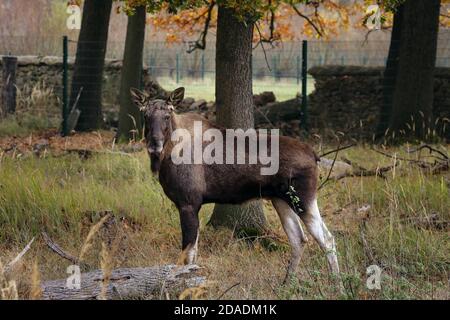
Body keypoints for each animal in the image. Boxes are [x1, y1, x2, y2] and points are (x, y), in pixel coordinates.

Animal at [131, 87, 342, 282]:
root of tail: (314, 155)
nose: (154, 144)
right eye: (145, 115)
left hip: (303, 197)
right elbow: (194, 253)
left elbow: (188, 255)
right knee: (299, 239)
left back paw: (337, 285)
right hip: (281, 199)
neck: (167, 155)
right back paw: (287, 283)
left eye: (167, 116)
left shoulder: (188, 203)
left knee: (327, 239)